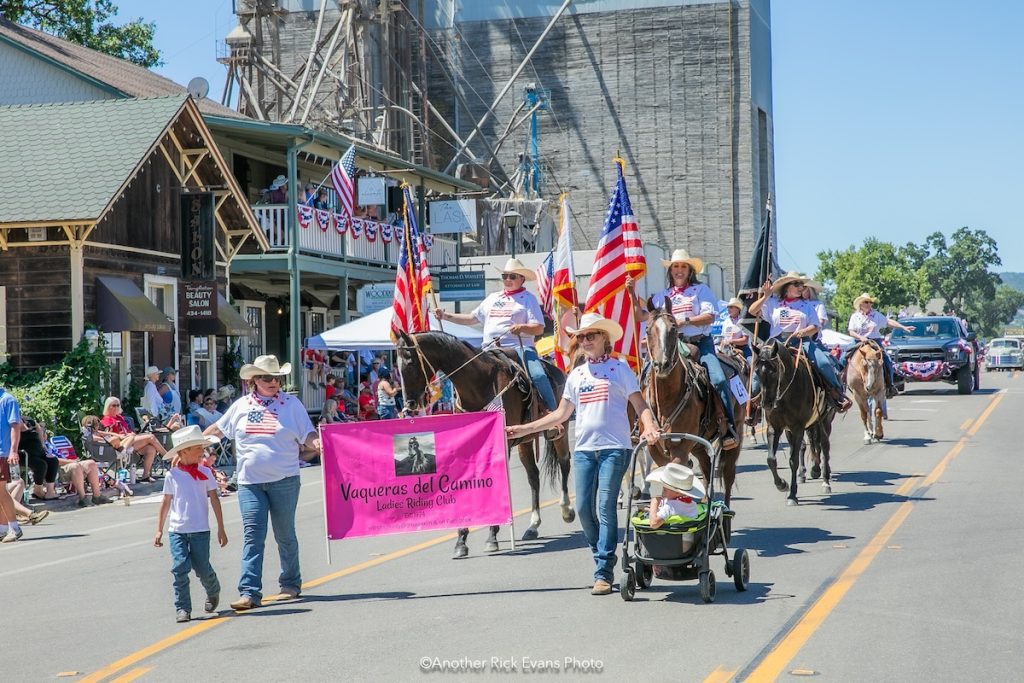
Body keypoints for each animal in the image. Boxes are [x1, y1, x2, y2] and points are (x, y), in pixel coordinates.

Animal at [393, 331, 577, 561]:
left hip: (559, 430)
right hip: (524, 441)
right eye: (397, 364)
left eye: (410, 362)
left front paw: (491, 536)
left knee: (564, 463)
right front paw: (461, 540)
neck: (477, 385)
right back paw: (533, 525)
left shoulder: (501, 442)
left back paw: (566, 510)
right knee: (533, 477)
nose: (409, 405)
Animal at [638, 301, 745, 505]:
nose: (662, 365)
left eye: (673, 328)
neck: (667, 399)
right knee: (706, 470)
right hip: (700, 446)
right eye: (647, 330)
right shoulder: (655, 447)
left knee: (728, 475)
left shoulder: (681, 447)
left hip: (737, 432)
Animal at [753, 339, 831, 505]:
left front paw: (792, 495)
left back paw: (826, 482)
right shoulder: (775, 427)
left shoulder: (798, 428)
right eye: (756, 371)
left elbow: (793, 460)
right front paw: (782, 485)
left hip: (824, 420)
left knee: (824, 446)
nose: (766, 404)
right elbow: (771, 459)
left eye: (774, 370)